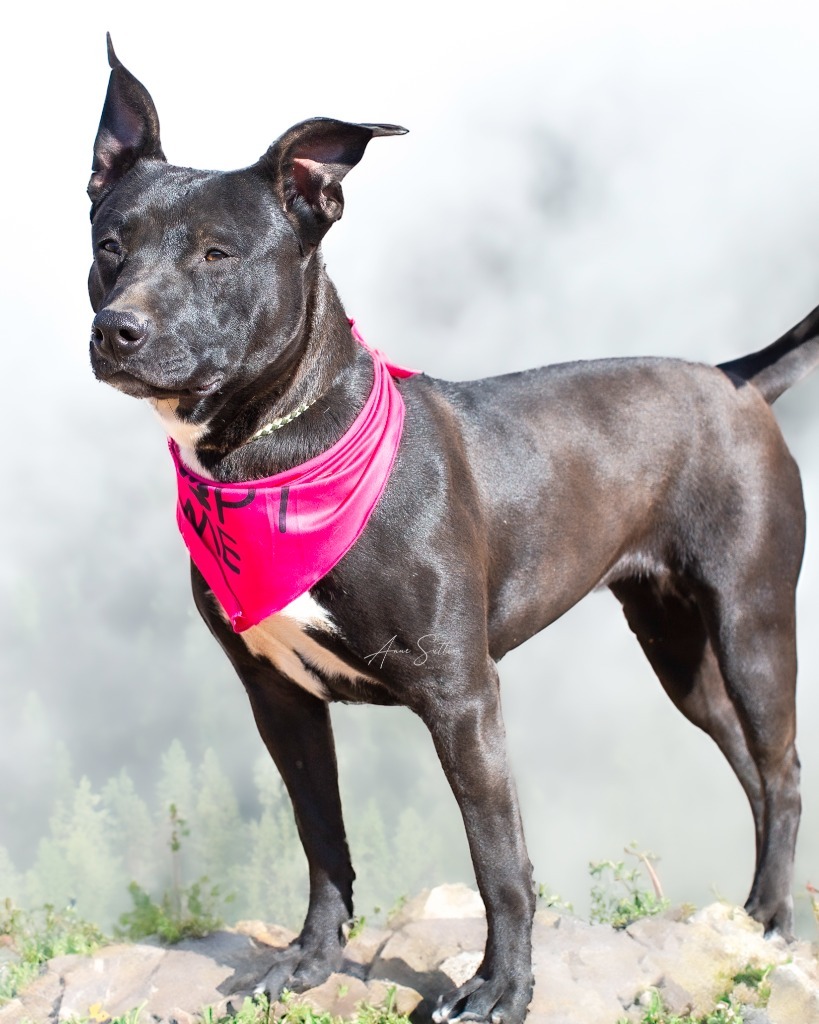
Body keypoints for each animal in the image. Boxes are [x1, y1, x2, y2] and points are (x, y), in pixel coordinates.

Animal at [88, 36, 810, 1019]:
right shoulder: (278, 696)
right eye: (109, 245)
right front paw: (308, 961)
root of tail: (735, 378)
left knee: (782, 770)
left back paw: (769, 918)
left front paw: (502, 987)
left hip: (752, 622)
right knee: (747, 763)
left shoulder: (462, 699)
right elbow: (321, 840)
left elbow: (498, 859)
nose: (115, 329)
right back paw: (743, 911)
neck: (274, 458)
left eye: (215, 254)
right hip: (678, 650)